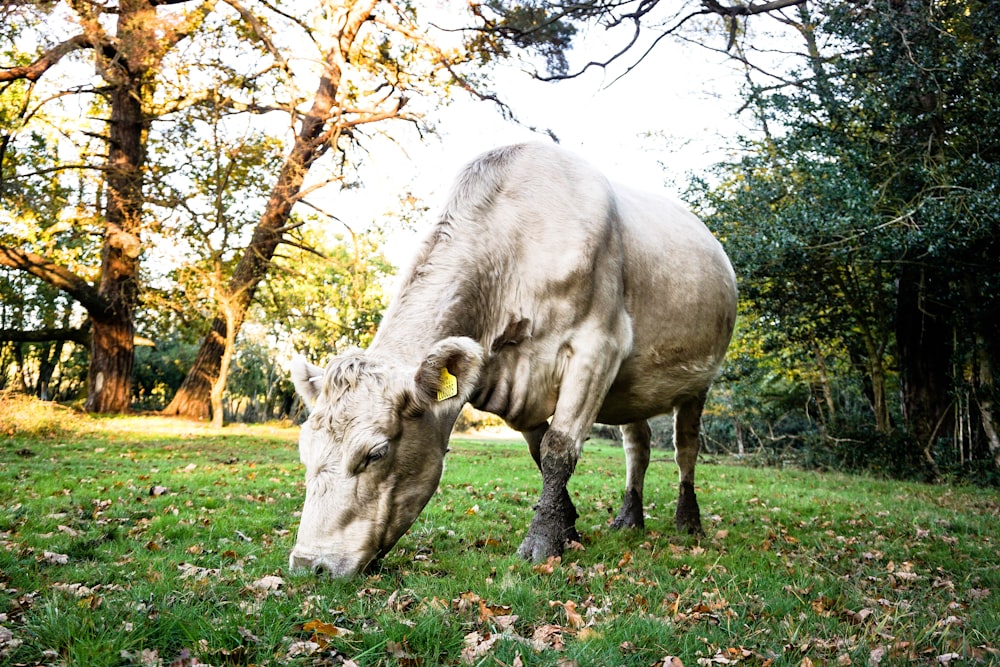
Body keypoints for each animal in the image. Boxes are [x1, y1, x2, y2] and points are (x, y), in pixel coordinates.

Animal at [290, 142, 736, 580]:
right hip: (633, 389)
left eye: (376, 453)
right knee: (637, 446)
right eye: (304, 452)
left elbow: (559, 449)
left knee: (685, 449)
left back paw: (689, 521)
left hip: (699, 381)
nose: (310, 565)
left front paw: (541, 542)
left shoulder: (597, 350)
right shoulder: (519, 384)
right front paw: (567, 528)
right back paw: (628, 519)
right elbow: (541, 452)